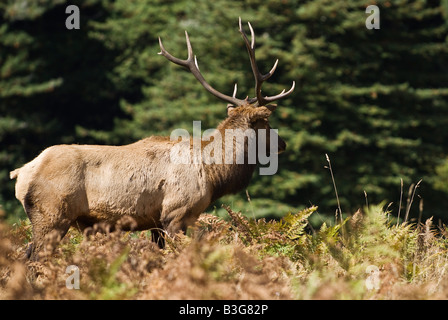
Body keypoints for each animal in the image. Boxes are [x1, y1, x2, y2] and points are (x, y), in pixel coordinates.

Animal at [9, 18, 294, 260]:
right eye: (266, 124)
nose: (283, 144)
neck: (213, 175)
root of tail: (21, 173)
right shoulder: (176, 214)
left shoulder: (155, 222)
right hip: (52, 214)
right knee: (35, 259)